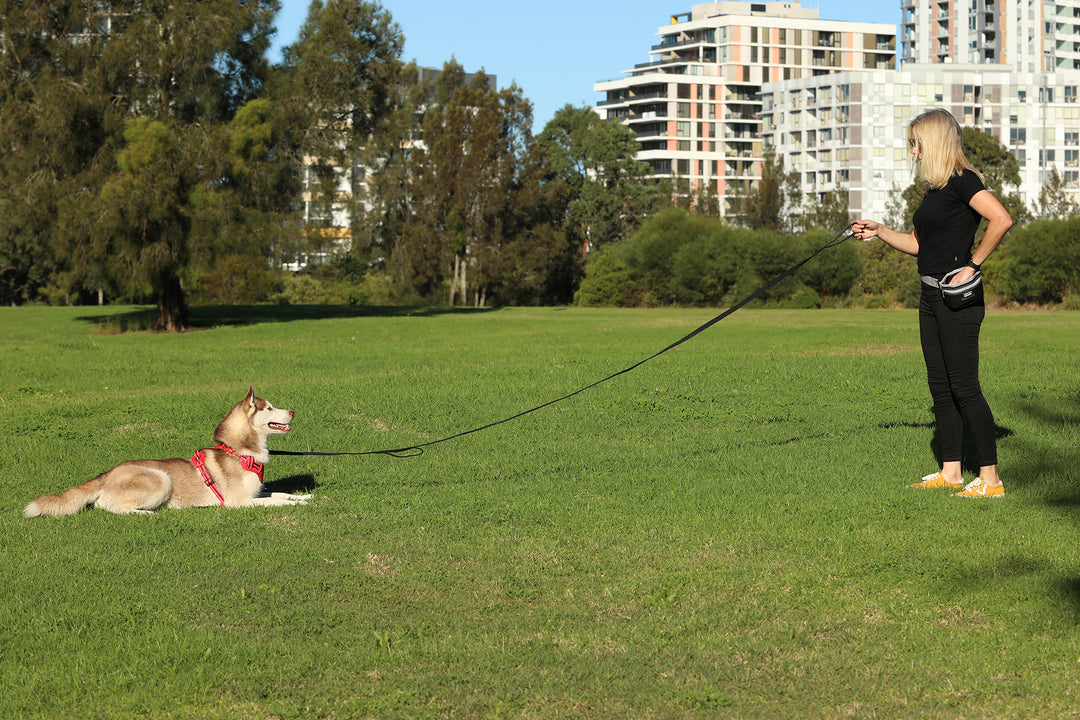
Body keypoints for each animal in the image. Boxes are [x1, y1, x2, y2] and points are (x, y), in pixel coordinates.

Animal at [25, 388, 311, 518]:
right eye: (270, 408)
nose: (293, 411)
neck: (238, 451)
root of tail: (106, 474)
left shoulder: (257, 491)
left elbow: (280, 493)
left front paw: (305, 497)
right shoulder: (239, 502)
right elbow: (275, 501)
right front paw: (299, 503)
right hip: (160, 479)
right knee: (106, 505)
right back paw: (146, 513)